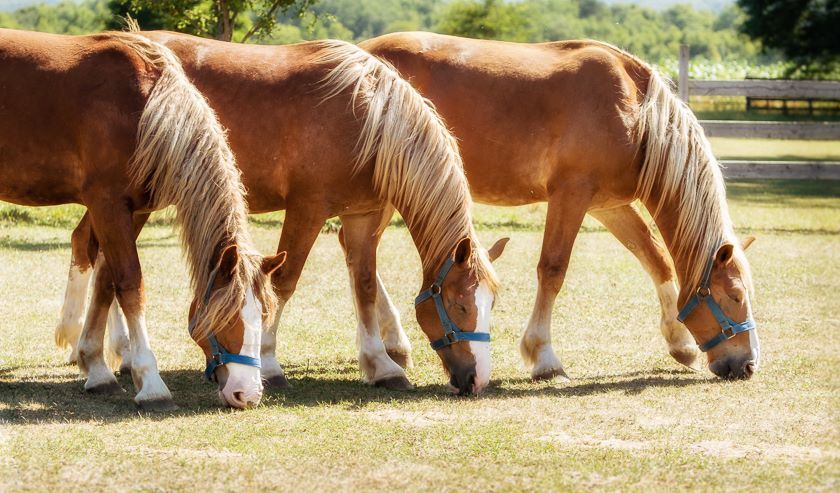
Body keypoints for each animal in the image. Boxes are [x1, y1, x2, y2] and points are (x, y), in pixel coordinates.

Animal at [0, 28, 286, 410]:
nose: (248, 394)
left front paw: (97, 367)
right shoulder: (107, 204)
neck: (144, 109)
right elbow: (131, 285)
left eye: (265, 315)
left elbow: (107, 282)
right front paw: (151, 383)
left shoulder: (135, 210)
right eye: (227, 319)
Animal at [55, 30, 508, 395]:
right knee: (102, 261)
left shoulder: (362, 214)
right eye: (461, 306)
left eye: (490, 305)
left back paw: (114, 356)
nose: (478, 379)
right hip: (126, 203)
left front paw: (381, 365)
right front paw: (270, 363)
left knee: (101, 262)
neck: (370, 118)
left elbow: (363, 284)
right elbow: (285, 282)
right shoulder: (308, 208)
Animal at [354, 32, 759, 380]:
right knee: (359, 255)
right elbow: (552, 269)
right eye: (737, 296)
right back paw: (388, 350)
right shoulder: (571, 195)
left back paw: (393, 346)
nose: (749, 364)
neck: (636, 113)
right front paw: (544, 356)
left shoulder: (608, 206)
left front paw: (680, 343)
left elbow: (655, 258)